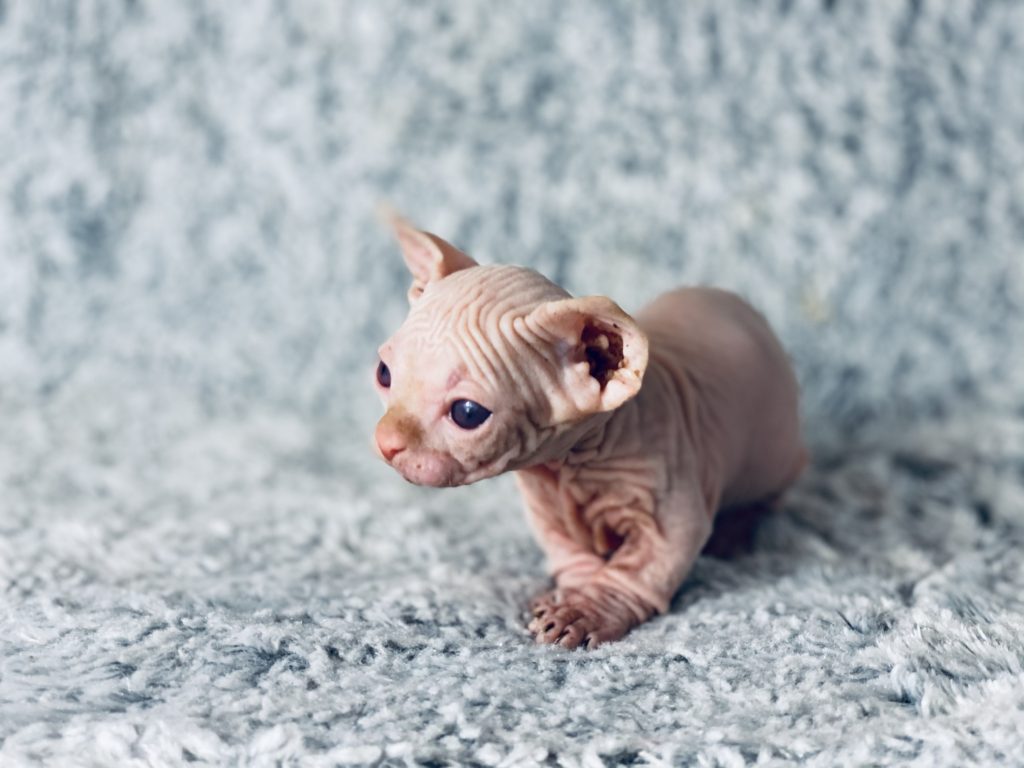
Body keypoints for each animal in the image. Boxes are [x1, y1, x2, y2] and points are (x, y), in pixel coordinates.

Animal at [372, 211, 802, 651]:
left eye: (468, 413)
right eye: (384, 373)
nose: (386, 445)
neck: (572, 465)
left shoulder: (666, 498)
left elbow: (640, 568)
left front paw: (587, 610)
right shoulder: (545, 504)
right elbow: (568, 552)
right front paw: (570, 594)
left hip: (774, 449)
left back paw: (734, 533)